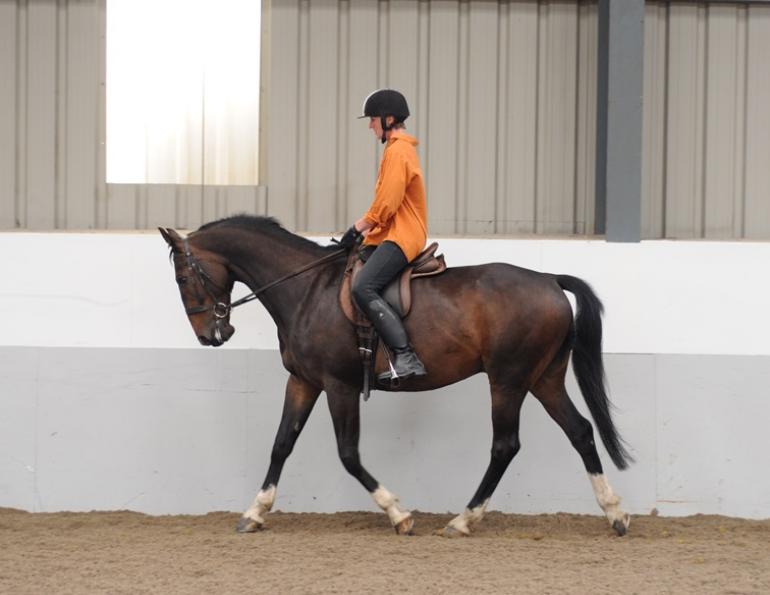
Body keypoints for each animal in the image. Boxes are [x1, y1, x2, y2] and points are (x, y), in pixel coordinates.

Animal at [159, 215, 633, 537]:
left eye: (182, 276)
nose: (210, 336)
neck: (307, 291)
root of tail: (550, 279)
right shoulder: (304, 381)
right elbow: (281, 444)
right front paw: (255, 512)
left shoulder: (340, 386)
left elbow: (348, 454)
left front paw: (399, 514)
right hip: (543, 379)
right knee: (581, 431)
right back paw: (615, 512)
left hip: (508, 381)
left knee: (505, 446)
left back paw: (464, 520)